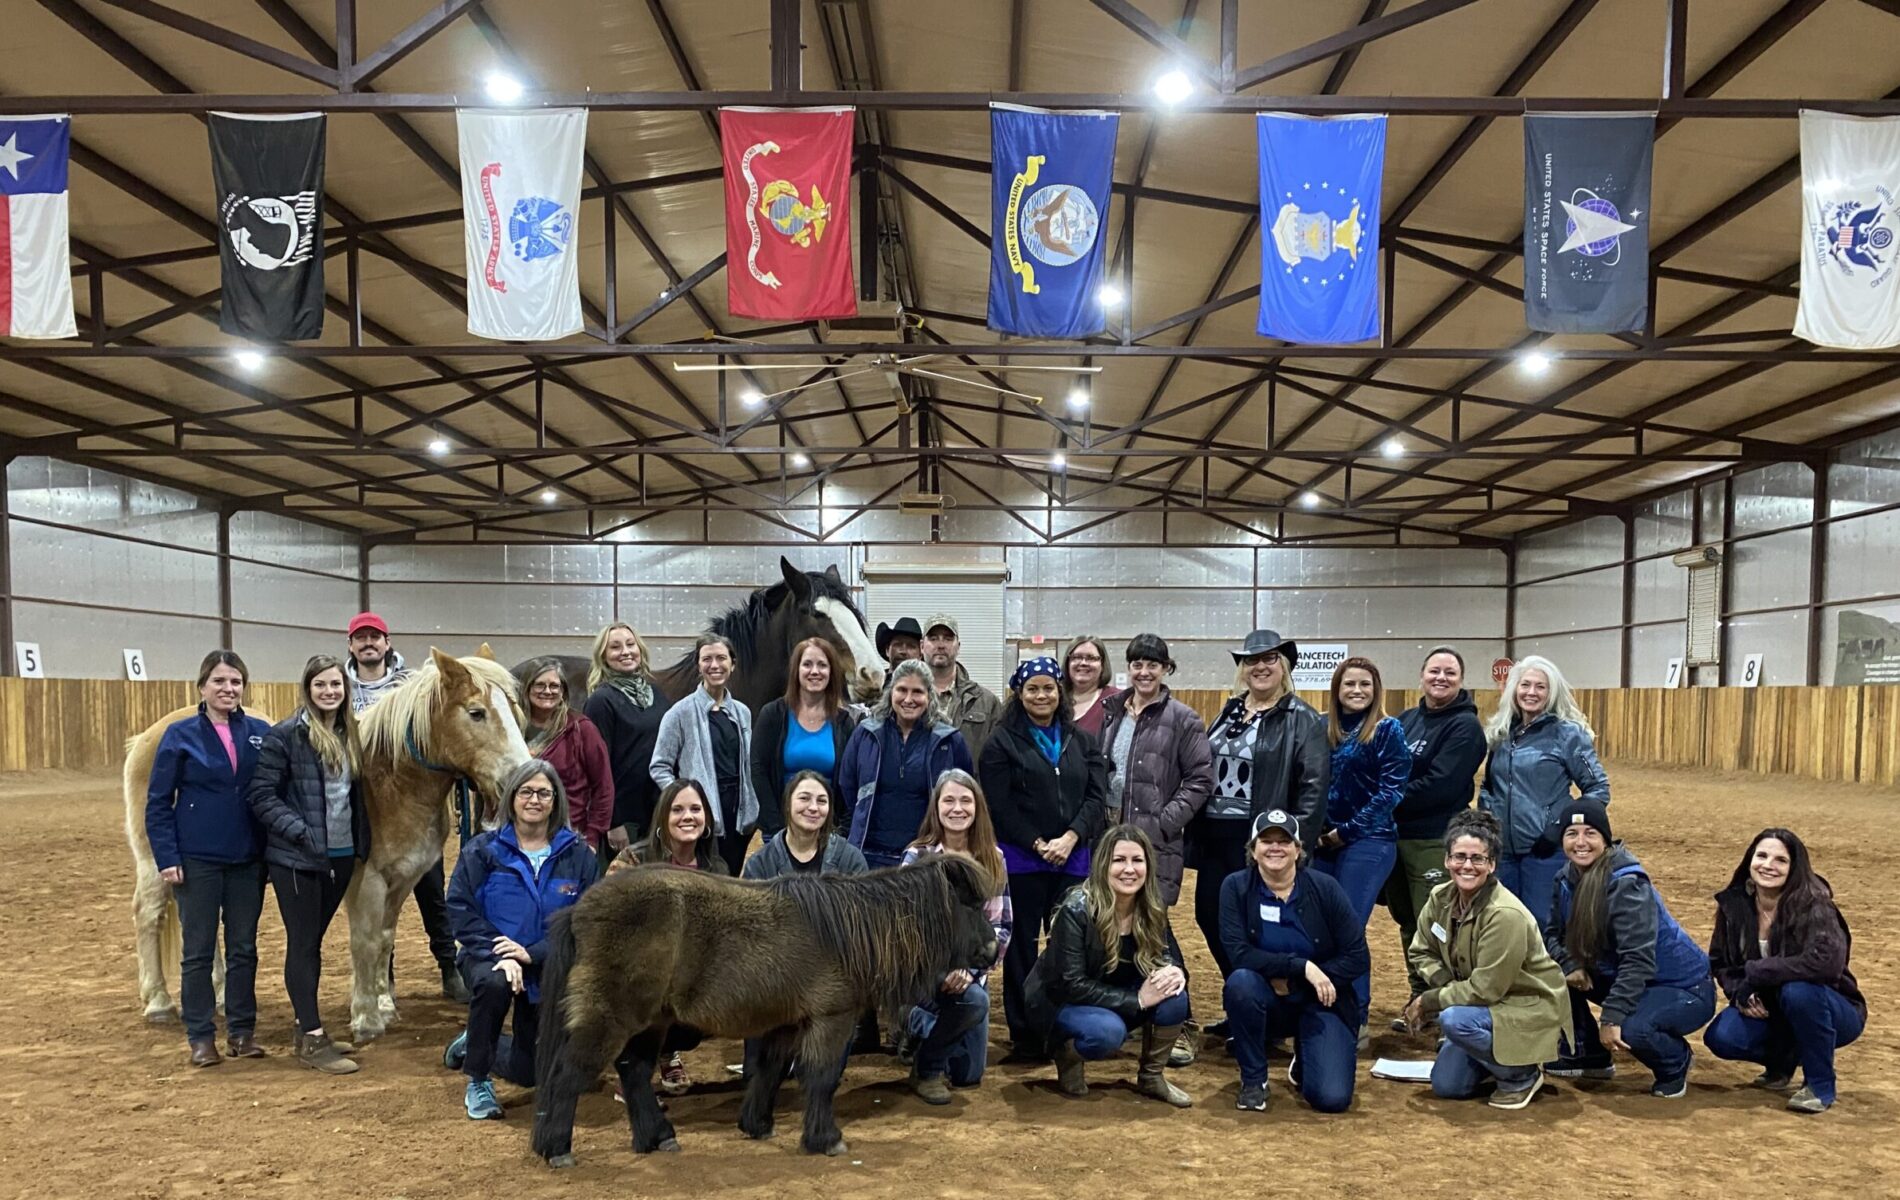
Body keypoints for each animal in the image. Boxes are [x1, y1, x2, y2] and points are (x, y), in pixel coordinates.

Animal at [124, 645, 528, 1040]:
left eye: (515, 712)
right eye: (476, 712)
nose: (520, 779)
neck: (392, 782)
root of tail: (148, 737)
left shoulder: (402, 881)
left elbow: (385, 940)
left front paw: (384, 1004)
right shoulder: (368, 881)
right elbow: (365, 942)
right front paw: (366, 1018)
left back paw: (221, 995)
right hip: (158, 865)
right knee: (148, 915)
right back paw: (159, 1002)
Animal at [532, 858, 995, 1169]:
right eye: (970, 904)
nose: (993, 950)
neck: (847, 930)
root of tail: (578, 910)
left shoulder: (785, 1024)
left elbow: (769, 1072)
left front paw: (757, 1125)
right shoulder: (832, 1019)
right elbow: (823, 1078)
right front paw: (826, 1139)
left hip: (651, 1022)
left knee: (634, 1072)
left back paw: (658, 1137)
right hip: (610, 1019)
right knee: (569, 1075)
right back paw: (557, 1149)